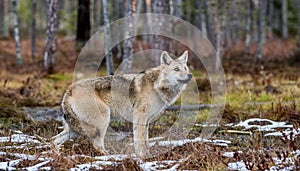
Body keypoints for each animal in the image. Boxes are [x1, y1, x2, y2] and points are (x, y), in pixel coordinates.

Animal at [51, 50, 192, 157]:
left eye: (185, 68)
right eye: (176, 69)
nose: (190, 75)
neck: (157, 86)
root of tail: (68, 91)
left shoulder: (146, 121)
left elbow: (146, 141)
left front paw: (148, 156)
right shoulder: (140, 118)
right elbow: (139, 141)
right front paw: (142, 157)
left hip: (75, 130)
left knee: (53, 140)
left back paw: (56, 155)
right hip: (102, 122)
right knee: (97, 145)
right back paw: (111, 157)